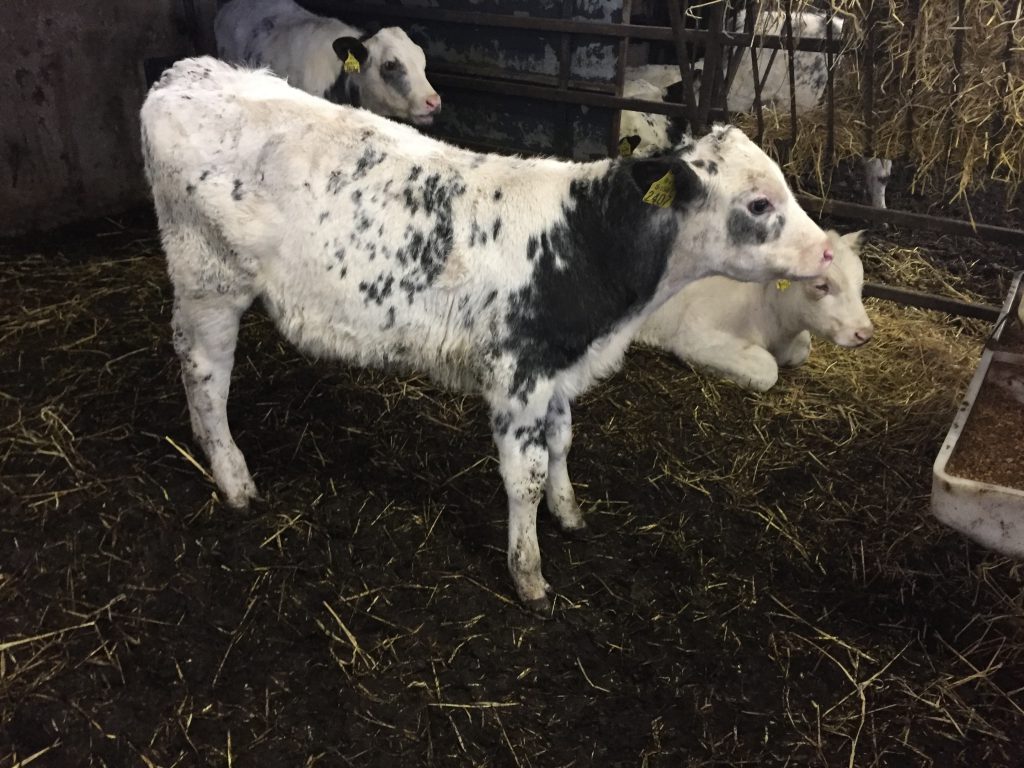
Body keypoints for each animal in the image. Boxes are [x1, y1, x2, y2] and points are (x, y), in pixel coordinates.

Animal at [141, 57, 834, 611]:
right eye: (759, 204)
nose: (827, 252)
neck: (586, 244)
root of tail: (186, 72)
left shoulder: (559, 368)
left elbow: (562, 441)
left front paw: (569, 512)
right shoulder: (517, 375)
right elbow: (523, 474)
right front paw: (529, 575)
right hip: (209, 279)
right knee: (205, 375)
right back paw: (234, 479)